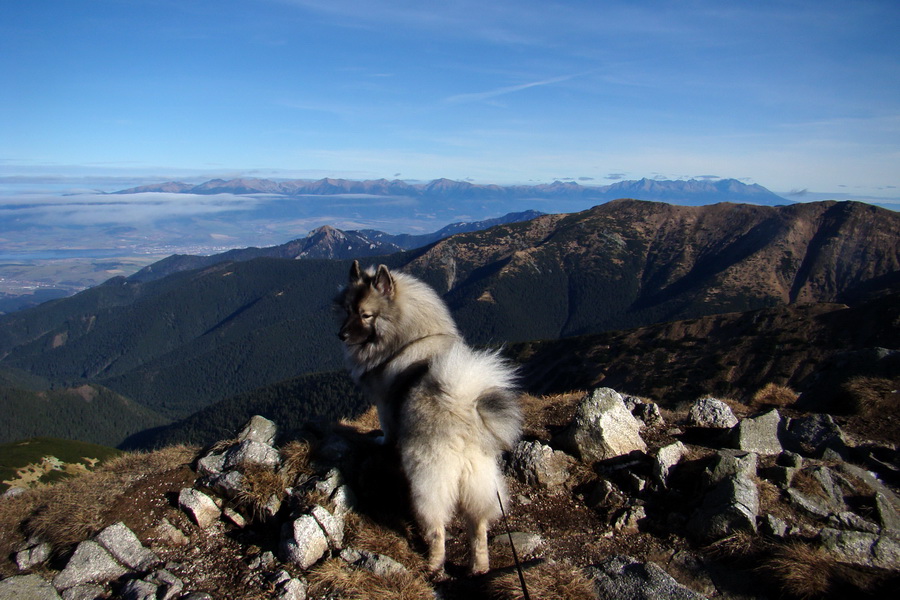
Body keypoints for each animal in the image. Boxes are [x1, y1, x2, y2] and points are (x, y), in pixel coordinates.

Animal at [336, 262, 520, 576]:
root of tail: (461, 409)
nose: (341, 336)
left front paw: (382, 441)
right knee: (478, 528)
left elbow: (387, 429)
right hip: (480, 482)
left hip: (429, 483)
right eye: (348, 310)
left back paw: (434, 564)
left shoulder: (385, 403)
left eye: (366, 315)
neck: (407, 336)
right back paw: (479, 567)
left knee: (437, 528)